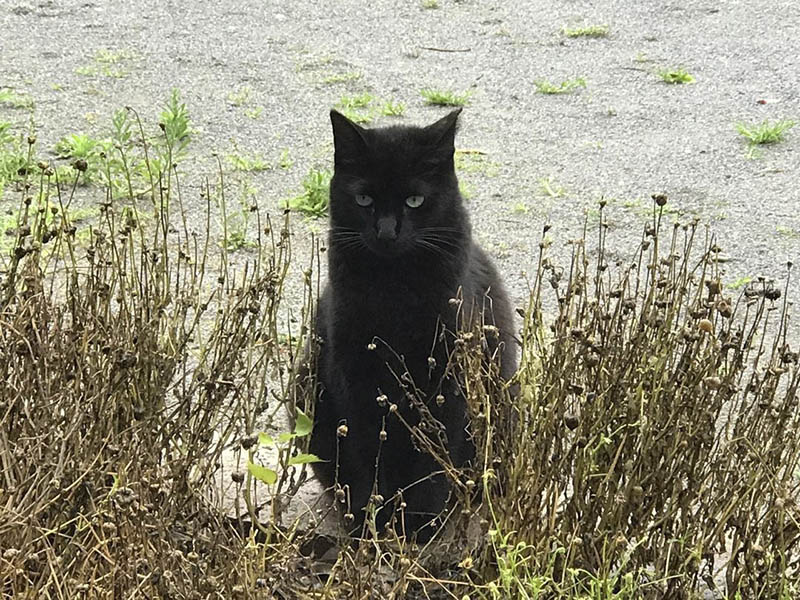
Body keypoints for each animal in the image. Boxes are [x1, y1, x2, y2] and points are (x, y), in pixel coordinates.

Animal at [310, 109, 516, 540]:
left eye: (415, 200)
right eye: (364, 199)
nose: (387, 231)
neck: (395, 291)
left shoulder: (448, 386)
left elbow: (433, 462)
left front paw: (419, 526)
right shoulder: (356, 381)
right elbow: (369, 456)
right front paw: (373, 522)